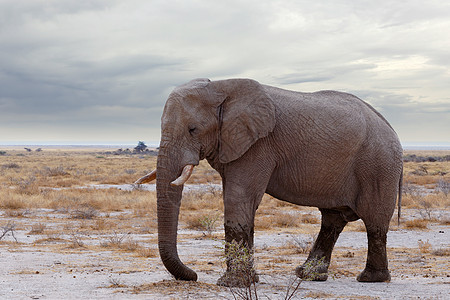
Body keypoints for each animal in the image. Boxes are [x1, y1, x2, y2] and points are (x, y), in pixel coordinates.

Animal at [135, 78, 402, 288]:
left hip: (379, 166)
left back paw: (371, 279)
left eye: (193, 129)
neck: (222, 87)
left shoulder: (259, 145)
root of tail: (391, 128)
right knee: (332, 220)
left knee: (374, 222)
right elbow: (242, 202)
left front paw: (232, 283)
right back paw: (307, 275)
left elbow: (239, 198)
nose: (193, 275)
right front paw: (248, 280)